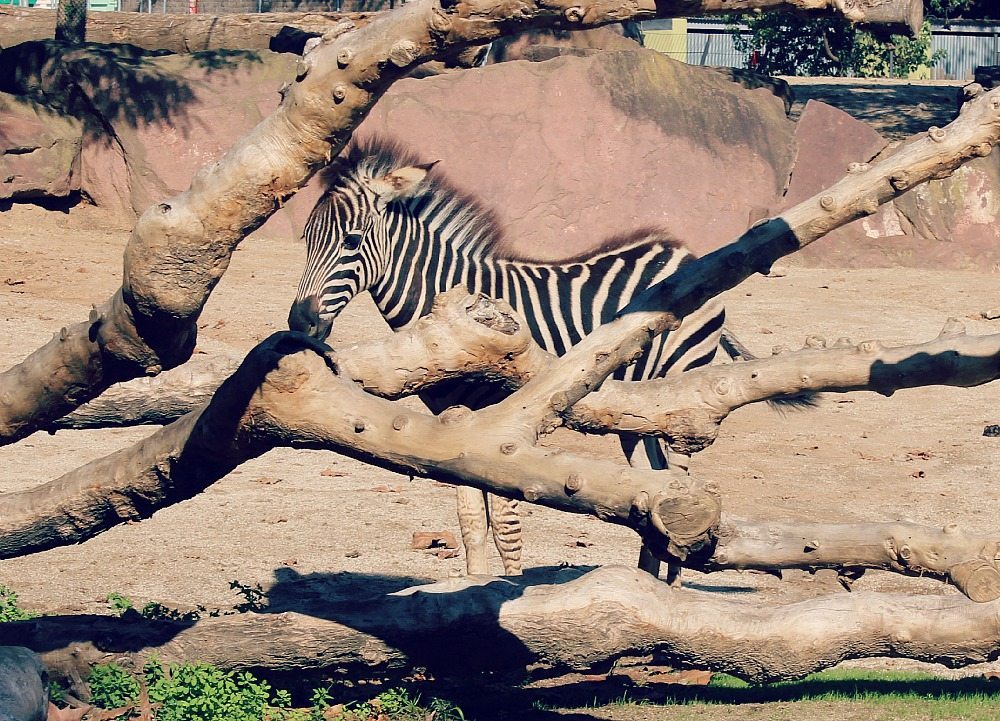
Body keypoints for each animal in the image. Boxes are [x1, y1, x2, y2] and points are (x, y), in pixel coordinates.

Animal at [289, 136, 728, 581]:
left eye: (351, 241)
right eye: (305, 238)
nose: (299, 322)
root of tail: (682, 250)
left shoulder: (502, 429)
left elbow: (505, 524)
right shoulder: (455, 422)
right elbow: (470, 521)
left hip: (681, 390)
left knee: (677, 479)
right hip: (638, 413)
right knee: (651, 478)